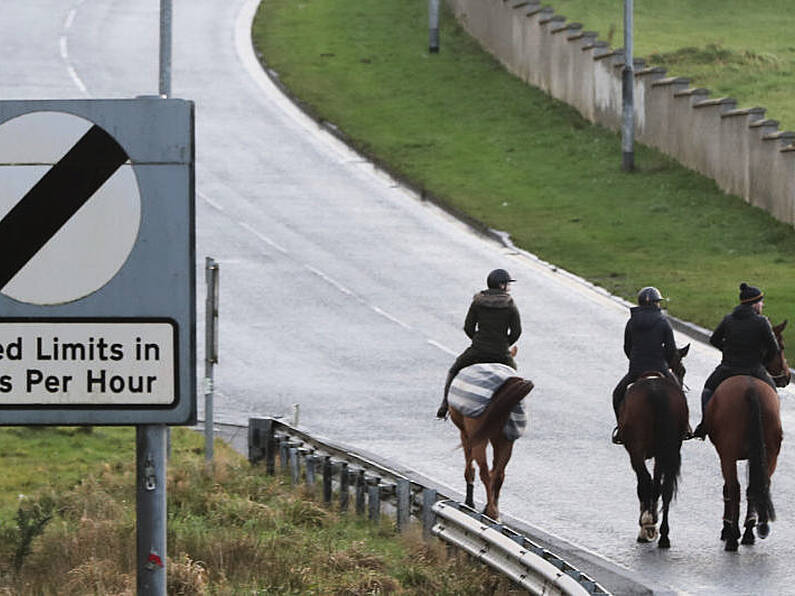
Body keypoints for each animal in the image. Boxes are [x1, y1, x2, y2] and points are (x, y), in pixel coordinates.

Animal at [448, 360, 536, 520]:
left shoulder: (466, 435)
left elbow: (469, 467)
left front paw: (469, 502)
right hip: (506, 441)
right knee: (498, 474)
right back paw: (493, 511)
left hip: (479, 440)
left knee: (484, 472)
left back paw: (490, 511)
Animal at [616, 342, 692, 548]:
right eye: (682, 371)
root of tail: (656, 392)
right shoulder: (662, 454)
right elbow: (659, 485)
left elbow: (646, 484)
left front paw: (647, 522)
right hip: (669, 449)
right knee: (665, 489)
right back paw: (664, 536)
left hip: (636, 449)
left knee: (645, 481)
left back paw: (647, 525)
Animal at [708, 318, 788, 552]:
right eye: (781, 347)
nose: (787, 376)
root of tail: (751, 388)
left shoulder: (726, 455)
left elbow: (728, 489)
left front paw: (727, 528)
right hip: (770, 453)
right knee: (758, 486)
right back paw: (752, 530)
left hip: (728, 453)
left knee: (733, 489)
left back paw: (732, 535)